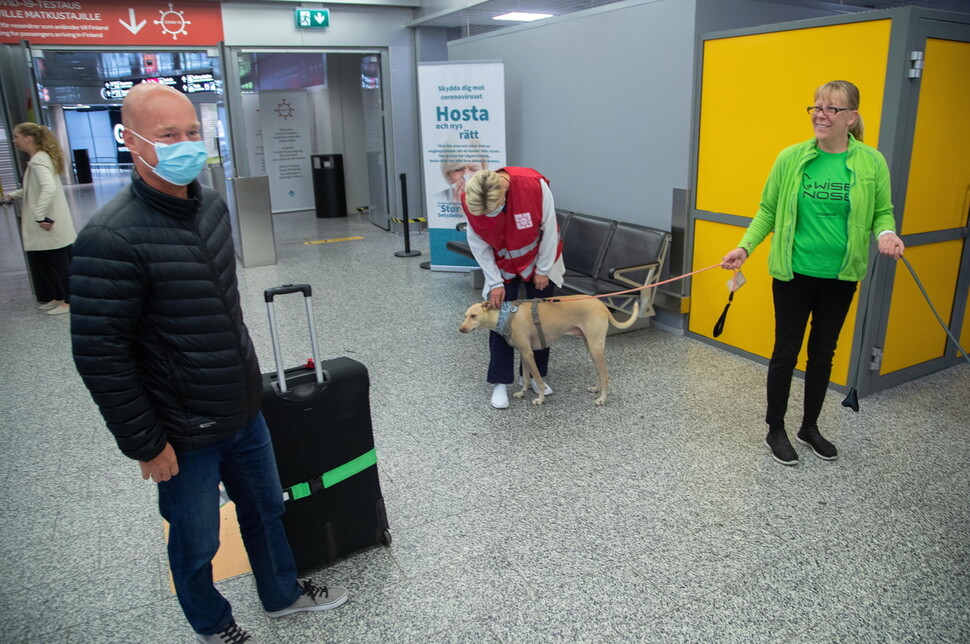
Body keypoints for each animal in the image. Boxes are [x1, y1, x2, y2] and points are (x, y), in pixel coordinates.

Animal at [460, 294, 640, 406]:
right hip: (590, 345)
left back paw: (602, 399)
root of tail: (602, 304)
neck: (504, 316)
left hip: (595, 347)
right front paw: (522, 393)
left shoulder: (529, 354)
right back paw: (596, 389)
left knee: (605, 375)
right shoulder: (524, 353)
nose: (461, 329)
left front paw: (540, 399)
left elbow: (539, 381)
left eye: (474, 316)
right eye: (465, 315)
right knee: (599, 372)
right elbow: (527, 378)